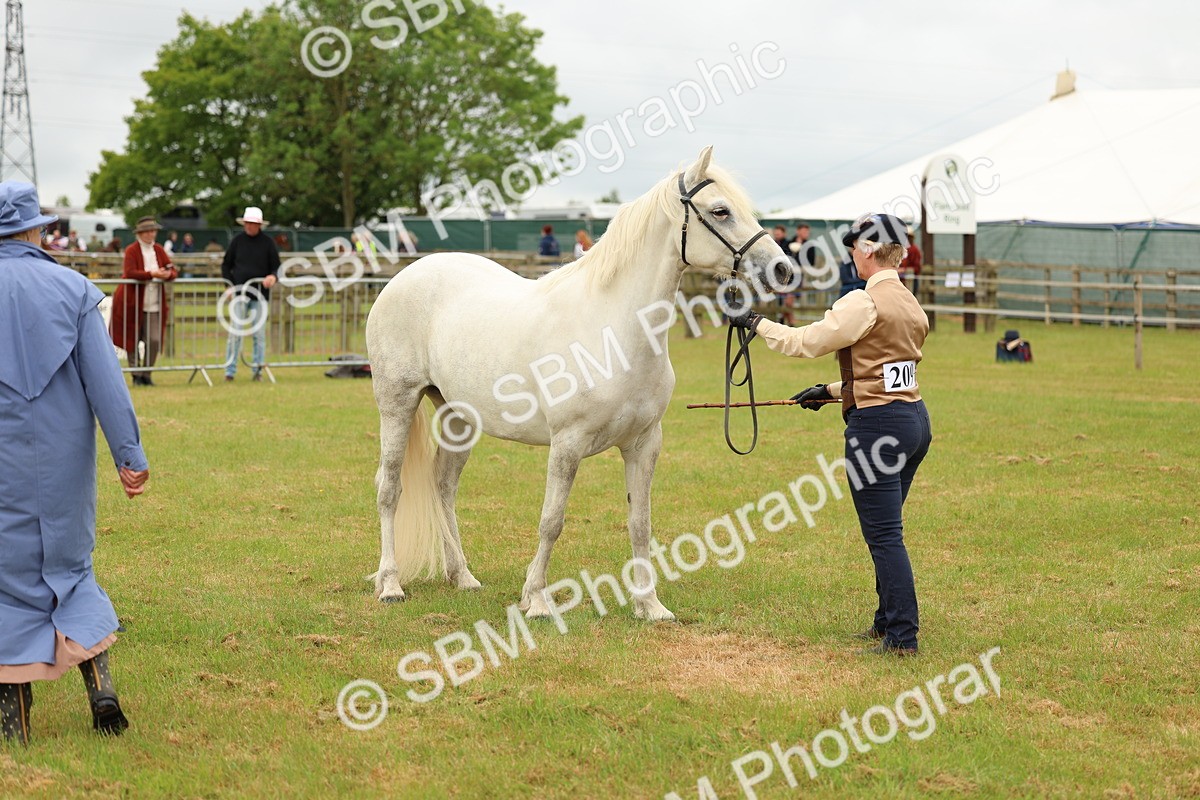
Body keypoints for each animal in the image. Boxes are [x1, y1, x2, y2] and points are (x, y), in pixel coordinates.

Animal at [365, 146, 784, 621]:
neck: (613, 329)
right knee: (390, 488)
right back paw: (391, 584)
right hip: (397, 404)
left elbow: (640, 523)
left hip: (458, 417)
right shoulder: (566, 445)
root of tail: (402, 278)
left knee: (443, 486)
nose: (782, 268)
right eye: (720, 210)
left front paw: (649, 605)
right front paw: (536, 599)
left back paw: (463, 576)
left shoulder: (644, 444)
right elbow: (552, 522)